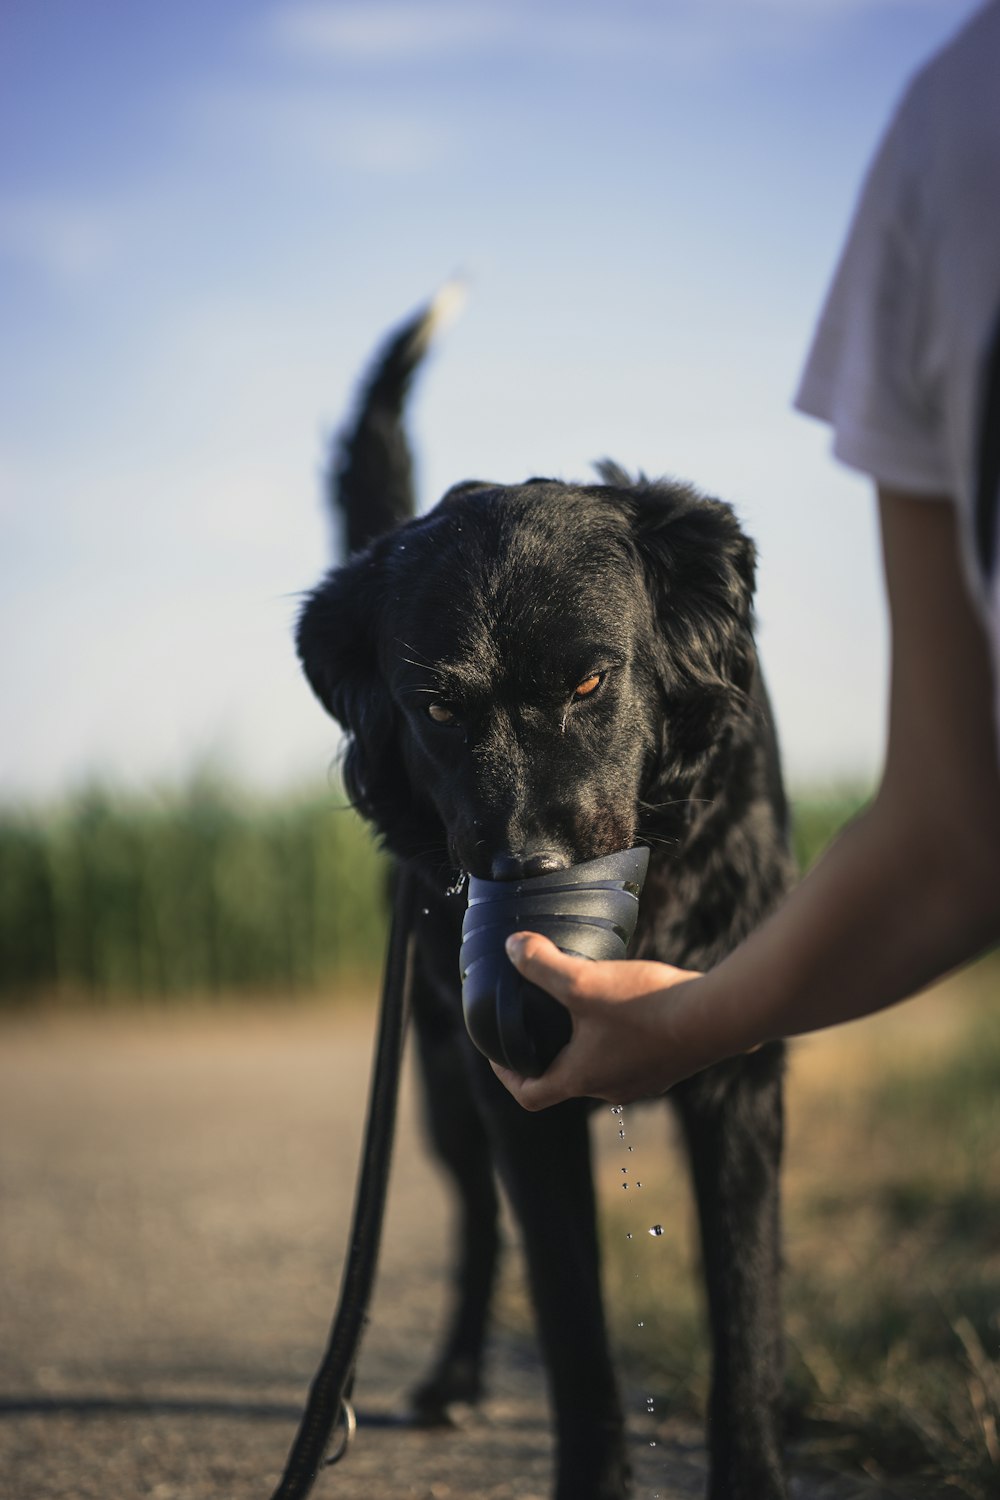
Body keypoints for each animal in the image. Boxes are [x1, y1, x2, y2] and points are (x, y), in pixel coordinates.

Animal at [296, 295, 797, 1500]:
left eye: (590, 679)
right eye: (436, 707)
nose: (526, 872)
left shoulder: (742, 1073)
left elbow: (745, 1315)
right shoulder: (513, 1090)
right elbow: (575, 1333)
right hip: (438, 1079)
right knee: (479, 1228)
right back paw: (453, 1377)